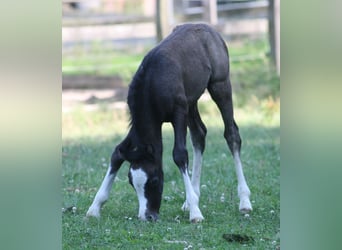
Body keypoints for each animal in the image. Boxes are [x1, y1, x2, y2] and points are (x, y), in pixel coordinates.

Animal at [85, 23, 251, 223]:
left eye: (155, 180)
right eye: (131, 182)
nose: (147, 216)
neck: (152, 82)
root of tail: (209, 29)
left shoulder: (178, 113)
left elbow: (179, 154)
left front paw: (196, 213)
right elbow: (117, 153)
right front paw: (94, 207)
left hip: (220, 85)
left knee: (231, 134)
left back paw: (244, 201)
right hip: (191, 101)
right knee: (199, 135)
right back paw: (191, 198)